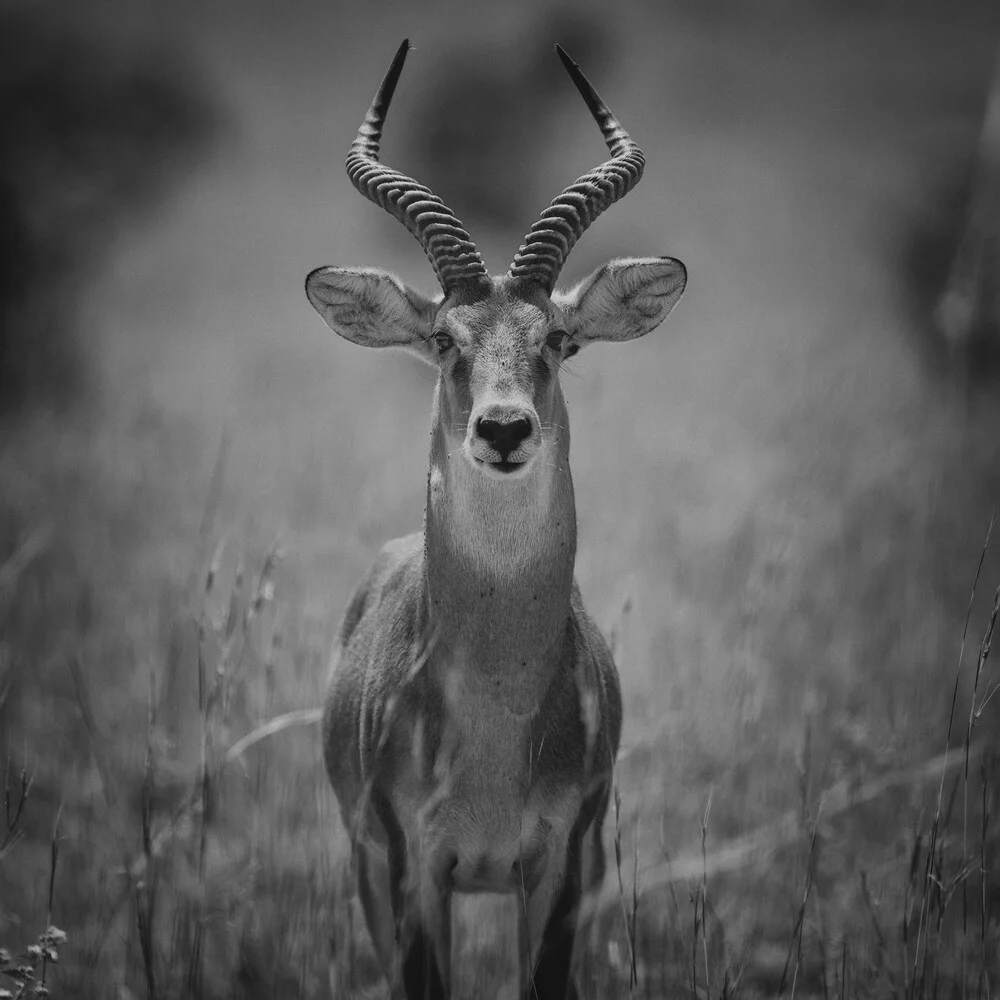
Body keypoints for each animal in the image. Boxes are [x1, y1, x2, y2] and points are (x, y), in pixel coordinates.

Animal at [308, 39, 688, 1000]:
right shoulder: (414, 866)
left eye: (555, 337)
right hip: (367, 870)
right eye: (446, 340)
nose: (504, 428)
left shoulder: (562, 862)